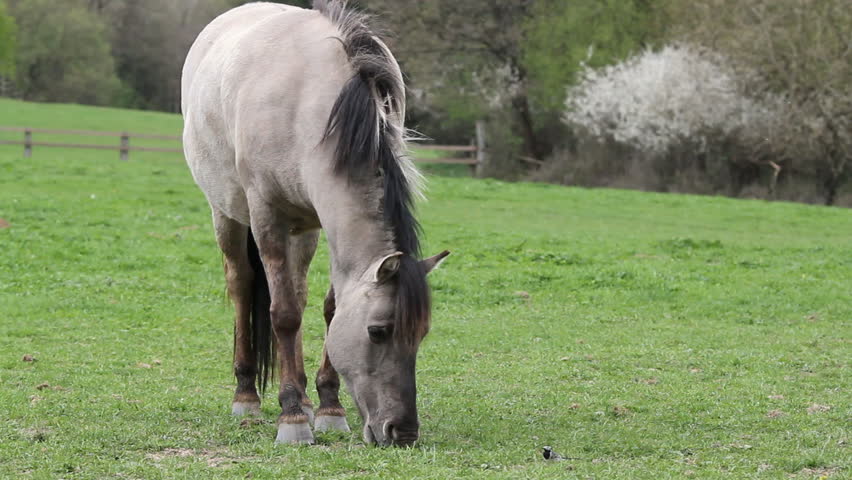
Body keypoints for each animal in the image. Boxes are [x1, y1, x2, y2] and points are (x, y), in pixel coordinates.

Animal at [180, 1, 449, 446]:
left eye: (422, 334)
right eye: (378, 331)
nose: (403, 431)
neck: (313, 104)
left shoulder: (320, 222)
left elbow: (329, 308)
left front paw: (328, 408)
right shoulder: (266, 214)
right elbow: (284, 313)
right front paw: (291, 417)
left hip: (303, 230)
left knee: (298, 290)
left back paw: (306, 398)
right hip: (228, 214)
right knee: (242, 287)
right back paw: (248, 396)